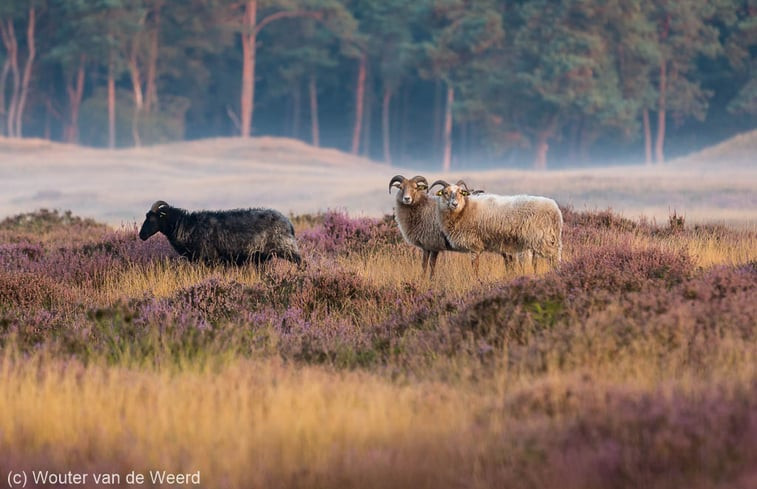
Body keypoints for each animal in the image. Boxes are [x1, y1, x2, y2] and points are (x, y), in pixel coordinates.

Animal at [139, 200, 302, 264]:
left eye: (151, 218)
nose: (141, 235)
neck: (185, 225)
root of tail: (288, 222)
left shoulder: (209, 258)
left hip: (287, 248)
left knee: (300, 261)